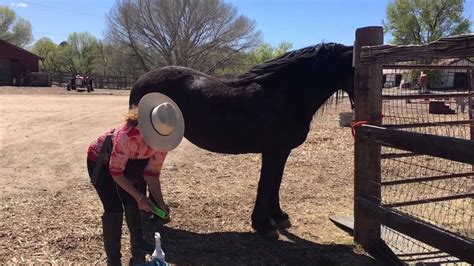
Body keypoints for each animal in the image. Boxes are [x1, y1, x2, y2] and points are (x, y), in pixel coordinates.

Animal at [128, 42, 354, 238]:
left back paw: (157, 212)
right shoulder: (272, 152)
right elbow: (265, 184)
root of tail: (139, 82)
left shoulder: (282, 152)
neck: (285, 95)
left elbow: (276, 183)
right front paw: (263, 225)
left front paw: (278, 216)